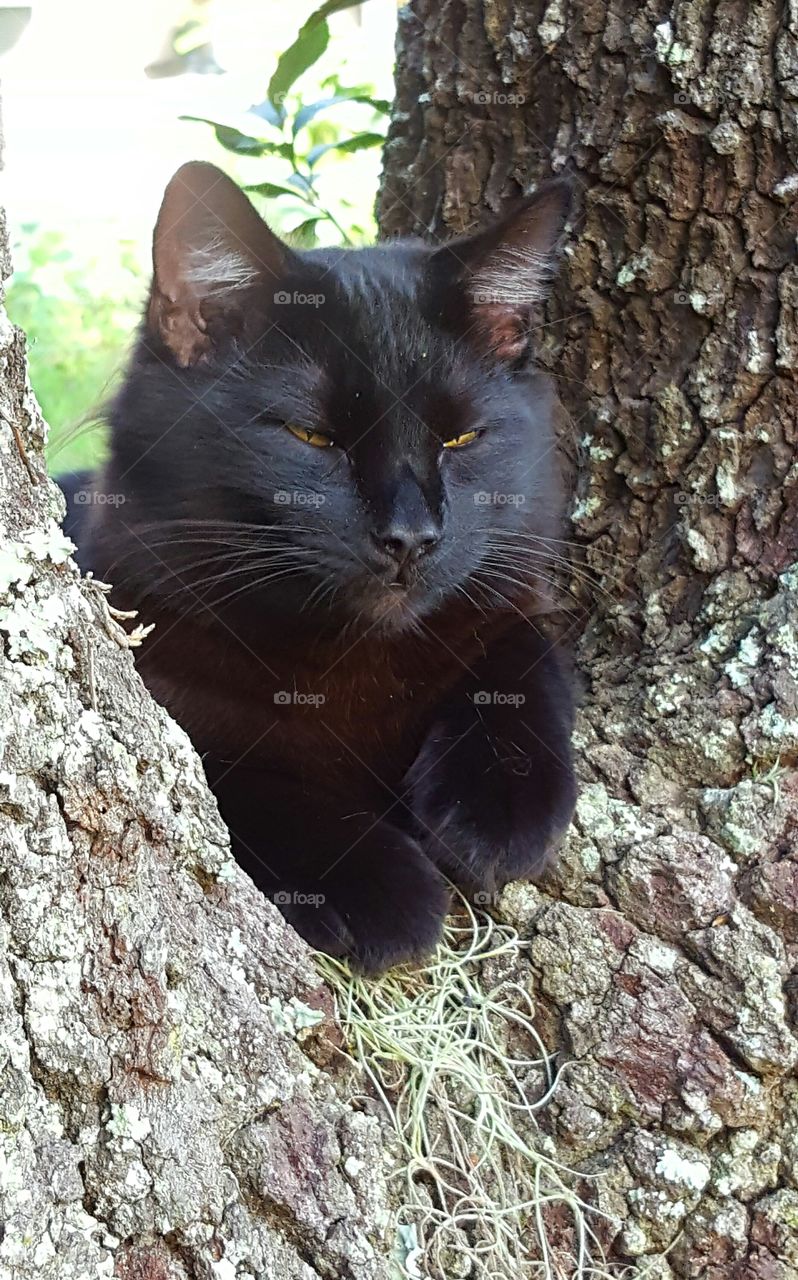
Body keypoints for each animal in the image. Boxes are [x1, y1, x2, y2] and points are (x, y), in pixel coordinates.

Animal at [60, 165, 573, 972]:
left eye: (462, 438)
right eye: (312, 437)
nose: (411, 536)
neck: (348, 666)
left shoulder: (509, 609)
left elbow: (523, 668)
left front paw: (499, 814)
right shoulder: (168, 711)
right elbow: (239, 783)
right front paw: (384, 888)